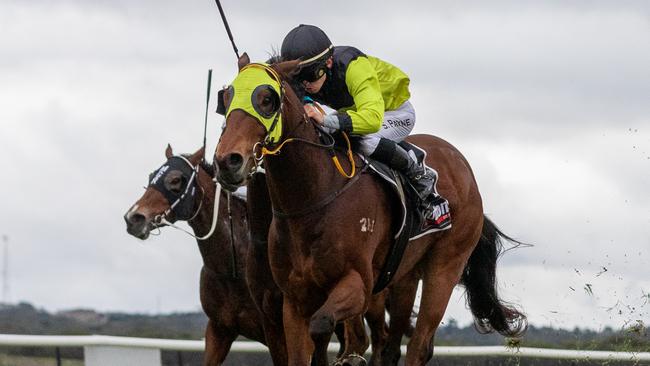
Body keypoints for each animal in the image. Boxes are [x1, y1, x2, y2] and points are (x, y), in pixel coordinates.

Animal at [214, 55, 528, 366]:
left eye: (267, 99)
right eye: (226, 98)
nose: (227, 161)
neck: (312, 200)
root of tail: (463, 167)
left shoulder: (359, 286)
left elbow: (325, 328)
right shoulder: (293, 302)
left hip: (446, 265)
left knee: (417, 345)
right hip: (405, 275)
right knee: (394, 345)